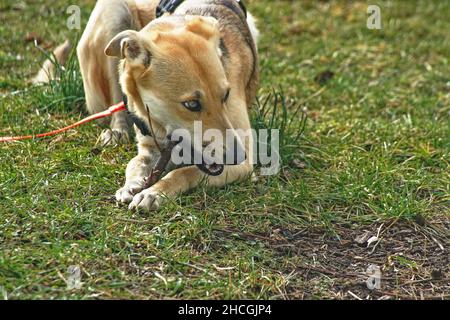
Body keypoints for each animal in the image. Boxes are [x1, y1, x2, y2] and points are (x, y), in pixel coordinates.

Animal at [35, 0, 260, 212]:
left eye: (226, 95)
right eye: (191, 104)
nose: (238, 156)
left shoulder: (243, 164)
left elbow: (184, 171)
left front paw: (155, 192)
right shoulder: (149, 146)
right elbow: (135, 163)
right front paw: (132, 184)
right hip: (113, 16)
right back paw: (117, 131)